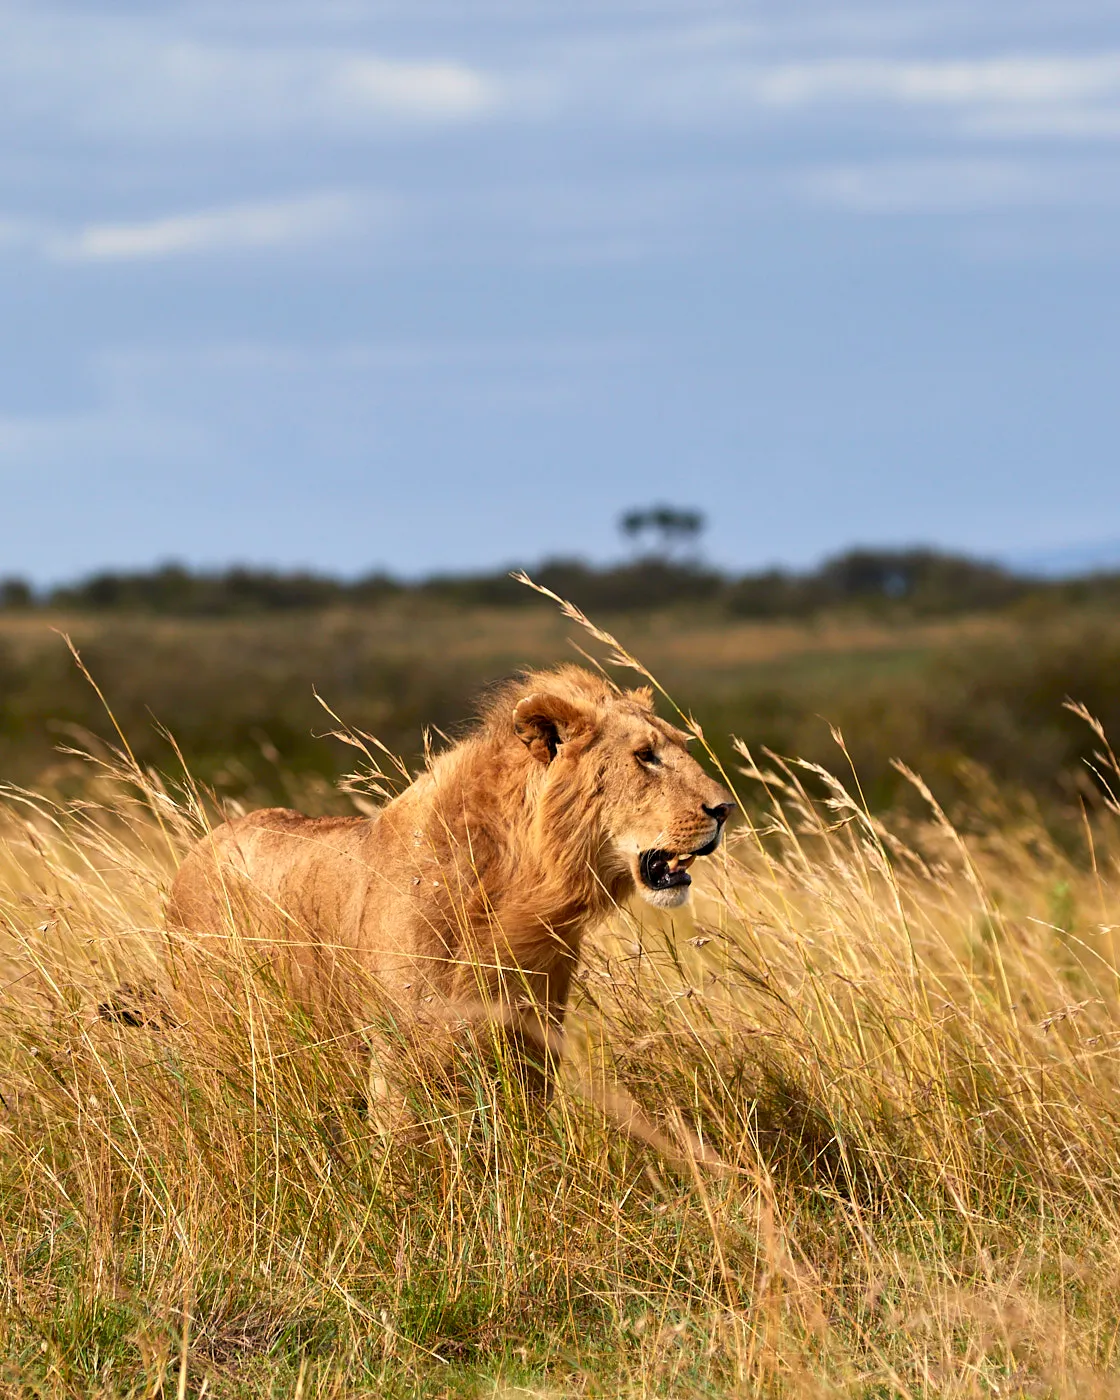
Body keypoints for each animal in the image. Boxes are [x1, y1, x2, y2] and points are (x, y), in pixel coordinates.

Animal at [167, 664, 734, 1110]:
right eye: (645, 756)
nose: (725, 808)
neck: (519, 896)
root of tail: (199, 848)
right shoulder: (399, 1052)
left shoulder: (531, 1046)